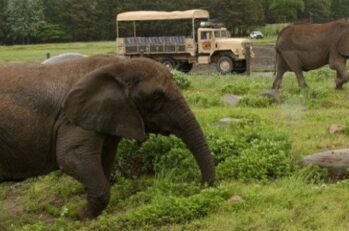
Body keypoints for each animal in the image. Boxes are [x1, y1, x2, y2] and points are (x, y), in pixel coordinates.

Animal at [0, 55, 215, 219]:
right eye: (156, 97)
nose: (201, 187)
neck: (119, 65)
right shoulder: (74, 120)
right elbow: (71, 158)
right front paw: (80, 215)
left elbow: (105, 159)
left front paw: (84, 212)